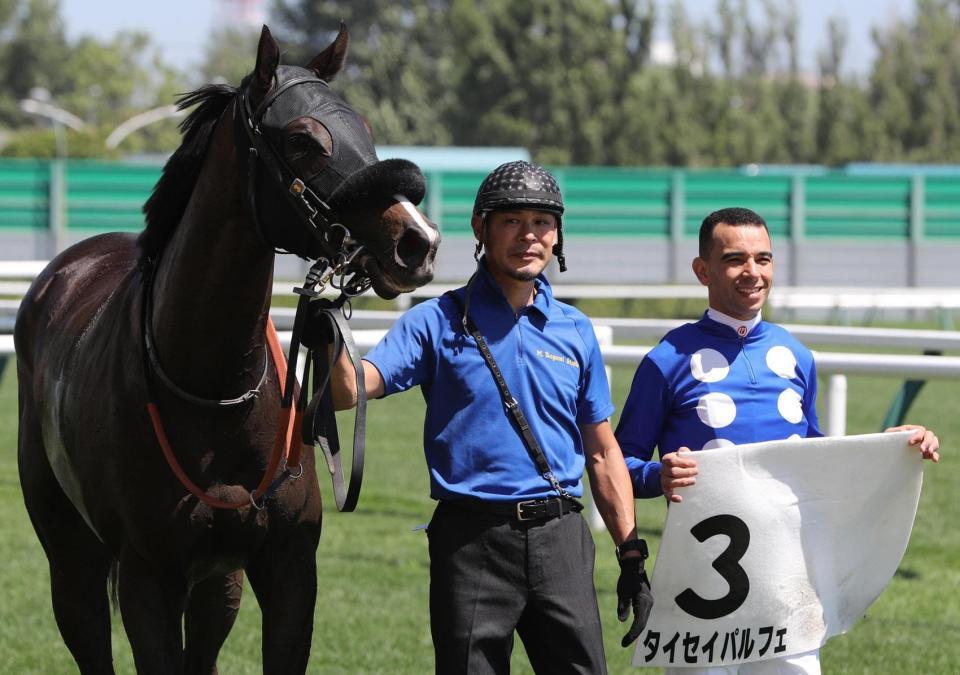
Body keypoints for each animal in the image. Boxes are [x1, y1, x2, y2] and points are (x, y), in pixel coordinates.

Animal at [13, 23, 440, 672]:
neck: (213, 390)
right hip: (70, 551)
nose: (416, 241)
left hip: (218, 582)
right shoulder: (147, 578)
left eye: (365, 128)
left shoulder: (287, 569)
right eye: (302, 139)